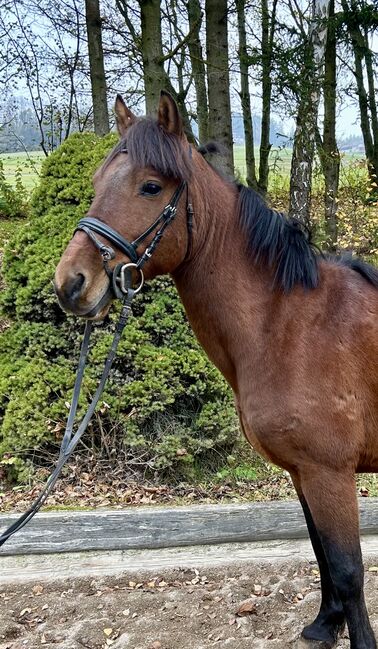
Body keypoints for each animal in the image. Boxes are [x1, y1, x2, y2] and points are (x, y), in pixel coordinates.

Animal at [54, 92, 378, 648]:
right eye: (97, 181)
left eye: (151, 185)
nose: (70, 284)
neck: (288, 323)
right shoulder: (303, 473)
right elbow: (321, 554)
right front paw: (324, 623)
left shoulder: (329, 473)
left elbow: (348, 570)